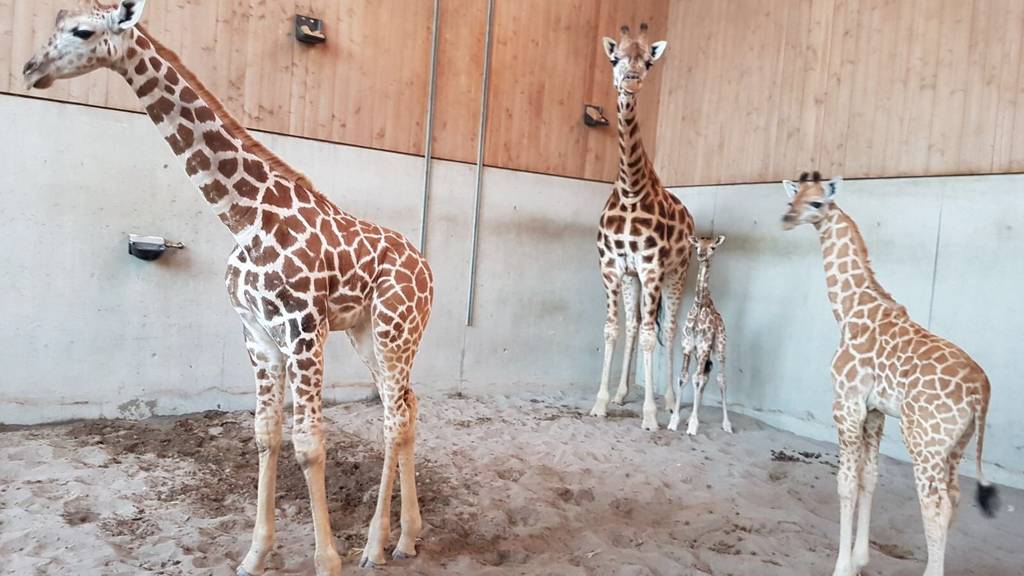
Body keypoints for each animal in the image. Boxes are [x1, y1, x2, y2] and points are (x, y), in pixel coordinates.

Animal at [23, 2, 432, 569]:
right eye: (54, 23)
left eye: (82, 31)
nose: (29, 69)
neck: (245, 219)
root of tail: (428, 269)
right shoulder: (257, 334)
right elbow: (265, 434)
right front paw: (256, 555)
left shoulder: (304, 330)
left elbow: (309, 442)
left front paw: (326, 561)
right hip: (367, 334)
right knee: (407, 409)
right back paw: (406, 536)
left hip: (397, 330)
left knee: (394, 417)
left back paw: (375, 545)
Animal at [585, 22, 696, 428]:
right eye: (615, 58)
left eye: (648, 61)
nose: (630, 81)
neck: (631, 190)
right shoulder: (612, 267)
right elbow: (613, 330)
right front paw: (602, 401)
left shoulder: (651, 269)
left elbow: (651, 334)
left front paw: (649, 414)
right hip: (636, 278)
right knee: (634, 326)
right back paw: (622, 393)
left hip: (677, 273)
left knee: (671, 328)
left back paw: (670, 401)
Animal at [667, 235, 733, 432]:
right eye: (697, 246)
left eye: (713, 247)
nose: (701, 255)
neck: (700, 305)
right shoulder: (688, 346)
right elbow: (684, 377)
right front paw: (674, 422)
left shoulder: (704, 347)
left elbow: (697, 379)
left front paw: (693, 426)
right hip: (700, 354)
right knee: (705, 375)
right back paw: (690, 418)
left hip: (720, 348)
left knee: (720, 378)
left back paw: (727, 424)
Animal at [778, 170, 995, 573]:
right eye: (791, 198)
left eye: (817, 202)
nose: (786, 218)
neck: (849, 310)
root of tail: (982, 391)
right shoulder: (875, 411)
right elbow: (870, 476)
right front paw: (860, 558)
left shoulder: (846, 403)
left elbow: (846, 483)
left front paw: (842, 566)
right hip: (956, 444)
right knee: (955, 497)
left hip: (923, 440)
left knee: (936, 505)